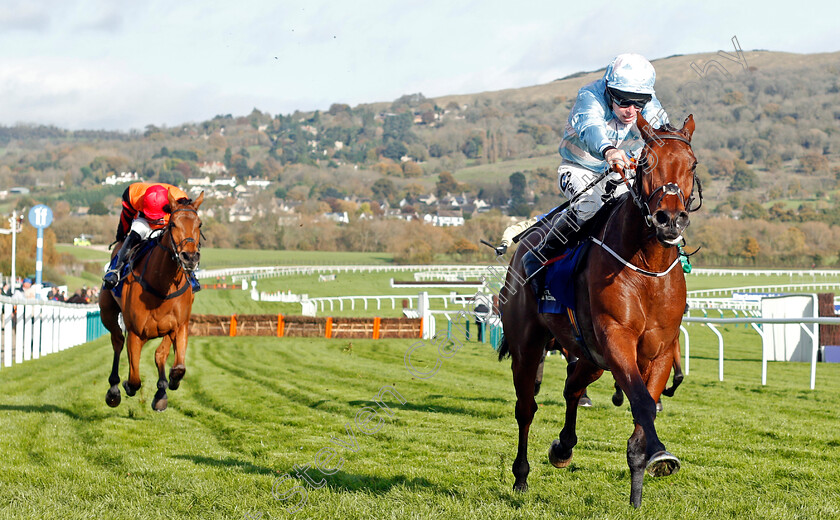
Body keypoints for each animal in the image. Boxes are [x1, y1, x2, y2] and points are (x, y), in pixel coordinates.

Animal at [97, 190, 203, 410]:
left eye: (199, 224)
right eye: (173, 224)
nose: (189, 257)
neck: (161, 285)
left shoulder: (179, 326)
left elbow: (177, 365)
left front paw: (170, 382)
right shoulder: (136, 333)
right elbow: (134, 380)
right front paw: (125, 387)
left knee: (159, 354)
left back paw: (162, 391)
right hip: (107, 313)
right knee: (118, 341)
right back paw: (114, 390)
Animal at [498, 114, 704, 508]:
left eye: (692, 164)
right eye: (644, 162)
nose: (669, 219)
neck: (648, 267)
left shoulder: (658, 350)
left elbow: (645, 406)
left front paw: (639, 490)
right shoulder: (617, 338)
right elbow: (641, 402)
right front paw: (661, 454)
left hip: (591, 356)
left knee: (572, 388)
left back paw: (563, 448)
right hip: (528, 344)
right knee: (526, 407)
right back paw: (521, 476)